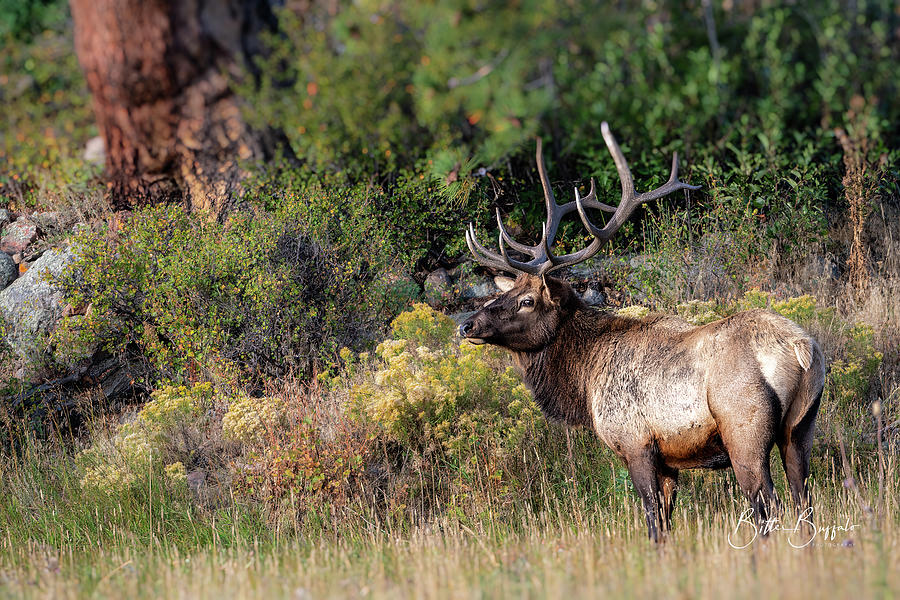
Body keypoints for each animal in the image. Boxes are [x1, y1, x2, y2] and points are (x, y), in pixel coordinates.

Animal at [460, 123, 828, 544]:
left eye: (527, 301)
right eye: (505, 293)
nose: (467, 324)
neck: (584, 382)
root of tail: (801, 349)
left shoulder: (635, 443)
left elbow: (652, 521)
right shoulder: (669, 460)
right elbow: (666, 525)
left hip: (744, 429)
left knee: (769, 505)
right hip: (801, 427)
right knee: (804, 503)